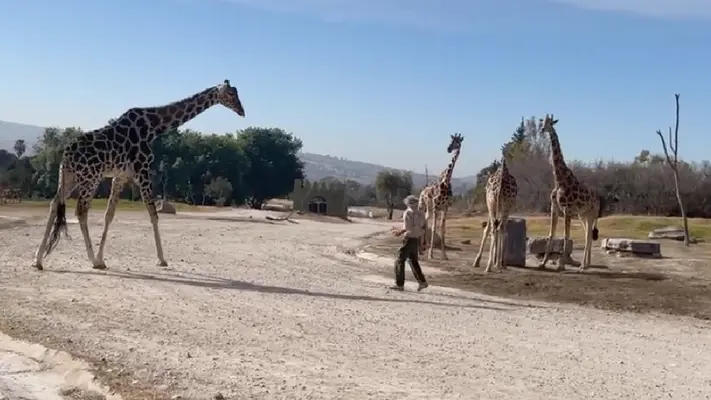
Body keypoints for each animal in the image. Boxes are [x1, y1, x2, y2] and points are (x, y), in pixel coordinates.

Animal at [31, 79, 245, 271]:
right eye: (230, 94)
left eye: (236, 92)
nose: (242, 111)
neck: (154, 127)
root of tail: (66, 154)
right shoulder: (143, 169)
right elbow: (153, 214)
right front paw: (161, 260)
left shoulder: (121, 176)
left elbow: (109, 214)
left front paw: (102, 256)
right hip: (90, 177)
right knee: (81, 211)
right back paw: (92, 261)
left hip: (69, 176)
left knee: (54, 204)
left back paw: (38, 260)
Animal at [537, 114, 602, 271]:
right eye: (542, 122)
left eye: (550, 123)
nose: (542, 129)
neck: (559, 181)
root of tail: (598, 198)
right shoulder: (554, 209)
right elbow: (550, 235)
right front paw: (543, 263)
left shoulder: (567, 210)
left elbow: (566, 237)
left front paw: (561, 265)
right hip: (582, 215)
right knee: (587, 235)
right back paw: (587, 263)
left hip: (591, 214)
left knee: (588, 236)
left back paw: (583, 266)